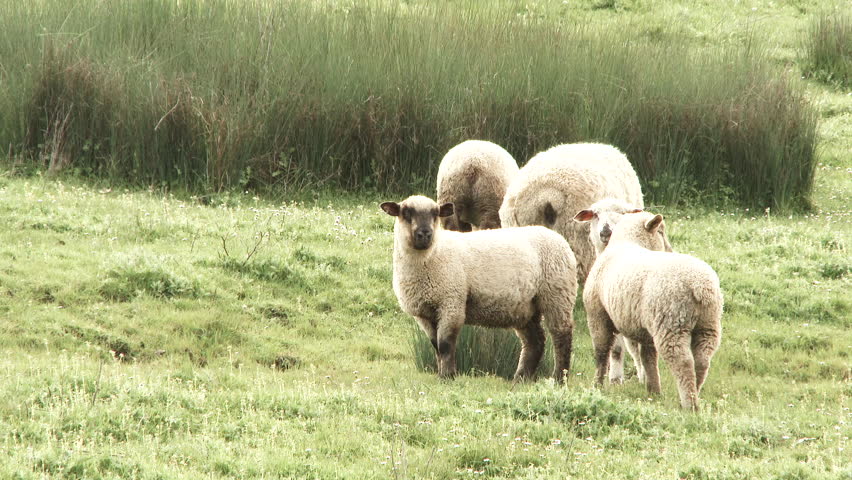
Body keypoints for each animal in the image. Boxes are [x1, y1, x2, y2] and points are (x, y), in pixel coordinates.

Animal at [380, 195, 577, 382]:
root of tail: (557, 237)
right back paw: (521, 378)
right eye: (406, 213)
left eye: (436, 214)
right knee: (535, 341)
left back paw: (559, 379)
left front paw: (448, 377)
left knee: (561, 336)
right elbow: (435, 346)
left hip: (557, 294)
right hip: (526, 307)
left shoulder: (451, 302)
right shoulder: (424, 315)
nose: (425, 234)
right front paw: (441, 374)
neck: (434, 254)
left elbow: (445, 345)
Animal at [579, 211, 723, 410]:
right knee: (702, 360)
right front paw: (653, 391)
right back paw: (694, 394)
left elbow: (601, 353)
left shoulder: (597, 315)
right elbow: (648, 359)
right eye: (661, 232)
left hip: (671, 324)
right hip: (708, 325)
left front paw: (597, 386)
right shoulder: (645, 330)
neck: (628, 242)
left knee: (683, 362)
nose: (670, 250)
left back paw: (689, 405)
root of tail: (700, 286)